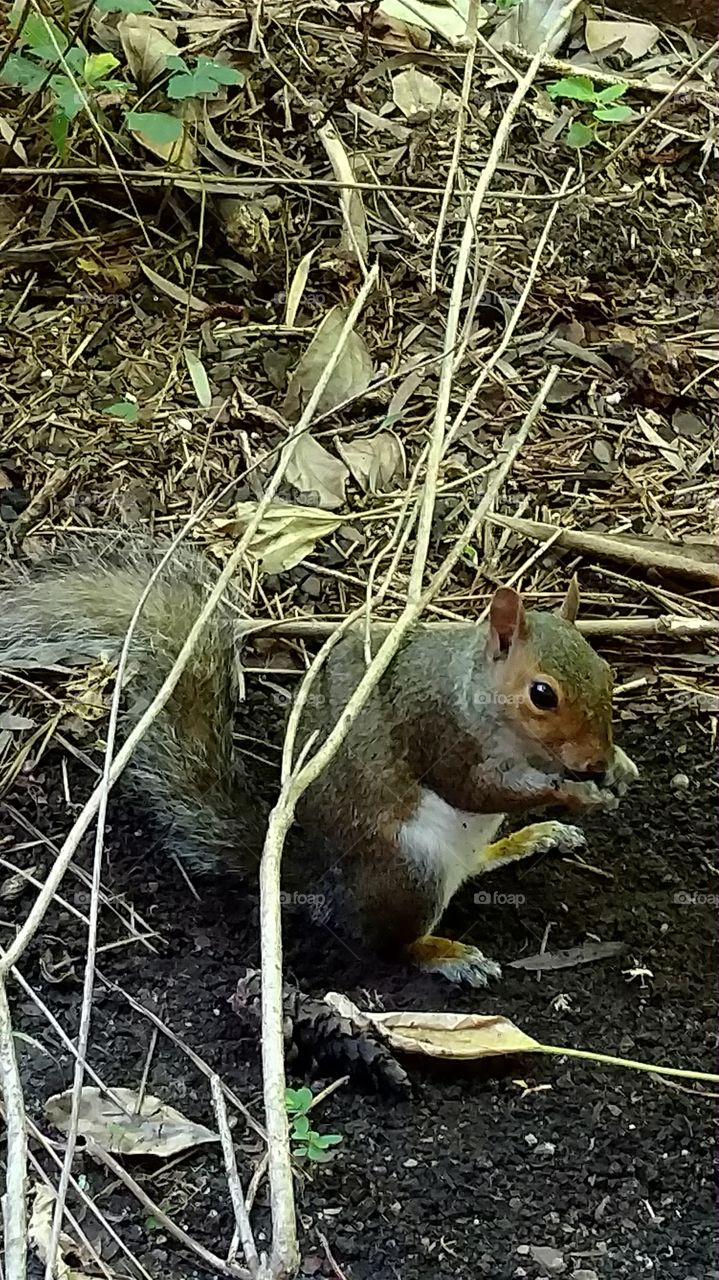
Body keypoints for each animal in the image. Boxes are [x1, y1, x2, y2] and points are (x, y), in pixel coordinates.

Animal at [0, 549, 638, 986]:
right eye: (542, 694)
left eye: (608, 672)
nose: (594, 759)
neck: (478, 691)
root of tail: (319, 878)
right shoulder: (438, 728)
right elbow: (476, 789)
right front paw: (571, 793)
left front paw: (619, 769)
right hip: (409, 870)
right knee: (390, 944)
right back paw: (448, 954)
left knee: (475, 865)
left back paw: (529, 840)